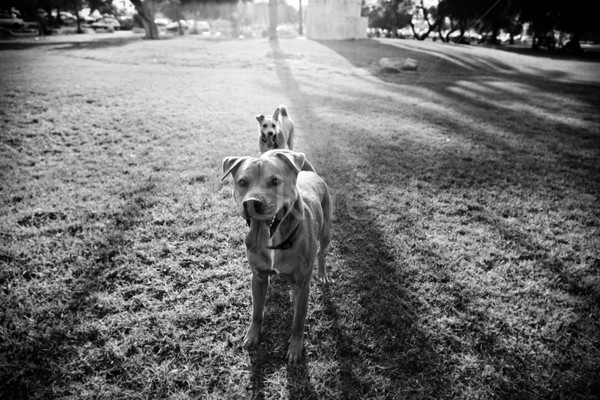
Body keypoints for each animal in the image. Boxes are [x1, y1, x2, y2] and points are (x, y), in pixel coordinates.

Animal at [221, 149, 330, 362]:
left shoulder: (302, 285)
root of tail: (310, 173)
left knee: (321, 254)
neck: (276, 241)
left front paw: (295, 347)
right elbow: (257, 312)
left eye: (274, 181)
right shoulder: (258, 278)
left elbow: (298, 321)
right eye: (242, 182)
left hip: (326, 233)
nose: (251, 203)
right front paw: (252, 335)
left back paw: (321, 274)